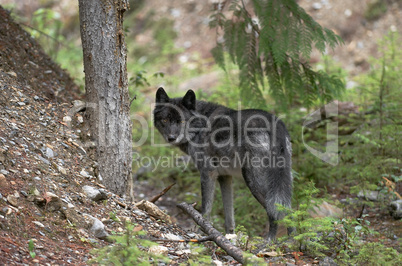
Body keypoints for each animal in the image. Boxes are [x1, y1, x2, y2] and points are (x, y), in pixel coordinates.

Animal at [154, 87, 292, 241]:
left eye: (182, 121)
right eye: (165, 119)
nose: (171, 138)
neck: (200, 126)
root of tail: (275, 124)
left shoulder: (208, 173)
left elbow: (206, 209)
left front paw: (201, 231)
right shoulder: (225, 177)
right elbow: (229, 216)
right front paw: (228, 237)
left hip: (253, 180)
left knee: (274, 210)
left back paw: (270, 241)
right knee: (290, 210)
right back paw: (294, 241)